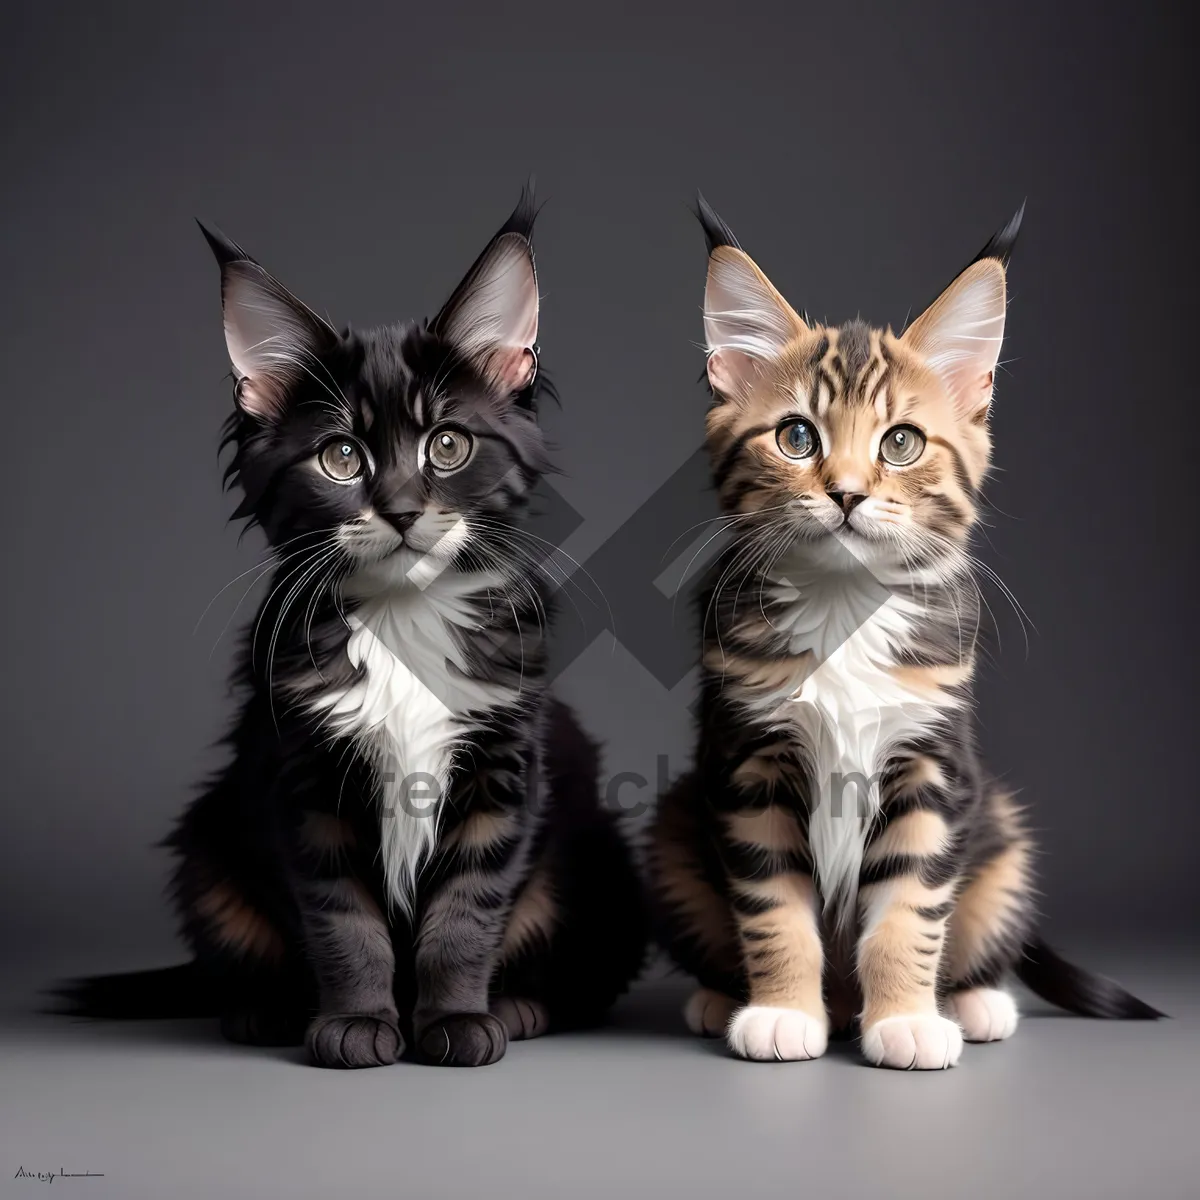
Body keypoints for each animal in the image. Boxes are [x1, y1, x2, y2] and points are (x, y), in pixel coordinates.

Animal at [59, 187, 648, 1070]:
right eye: (341, 458)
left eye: (448, 445)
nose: (401, 509)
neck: (405, 622)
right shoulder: (305, 783)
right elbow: (344, 921)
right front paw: (358, 1023)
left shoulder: (502, 775)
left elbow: (465, 915)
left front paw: (456, 1022)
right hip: (207, 846)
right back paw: (267, 1011)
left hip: (602, 865)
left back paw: (517, 1008)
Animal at [648, 194, 1161, 1070]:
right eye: (797, 437)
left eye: (901, 443)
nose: (849, 493)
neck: (843, 608)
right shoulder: (748, 763)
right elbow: (772, 903)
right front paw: (781, 1011)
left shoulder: (931, 765)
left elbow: (910, 909)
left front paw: (906, 1021)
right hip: (675, 825)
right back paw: (730, 999)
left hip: (1003, 832)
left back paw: (972, 1002)